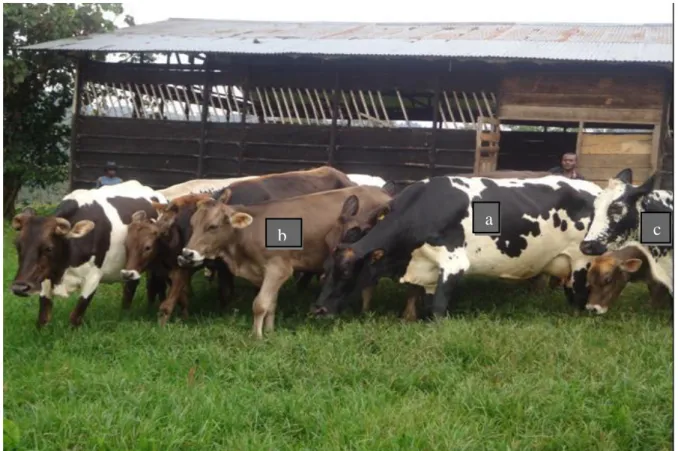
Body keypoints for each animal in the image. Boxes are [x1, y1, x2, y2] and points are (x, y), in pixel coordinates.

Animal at [10, 180, 169, 328]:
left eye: (49, 248)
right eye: (17, 245)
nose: (19, 288)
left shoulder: (93, 277)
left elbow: (76, 316)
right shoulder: (46, 276)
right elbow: (43, 317)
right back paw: (124, 312)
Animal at [178, 185, 396, 338]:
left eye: (212, 226)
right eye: (193, 224)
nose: (187, 254)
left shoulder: (278, 269)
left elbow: (260, 304)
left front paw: (256, 337)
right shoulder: (269, 273)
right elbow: (271, 304)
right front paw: (269, 332)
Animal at [310, 173, 604, 318]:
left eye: (346, 270)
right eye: (325, 269)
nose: (318, 309)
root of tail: (595, 189)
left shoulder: (454, 263)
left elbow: (439, 309)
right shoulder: (427, 270)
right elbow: (426, 305)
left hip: (582, 260)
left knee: (579, 296)